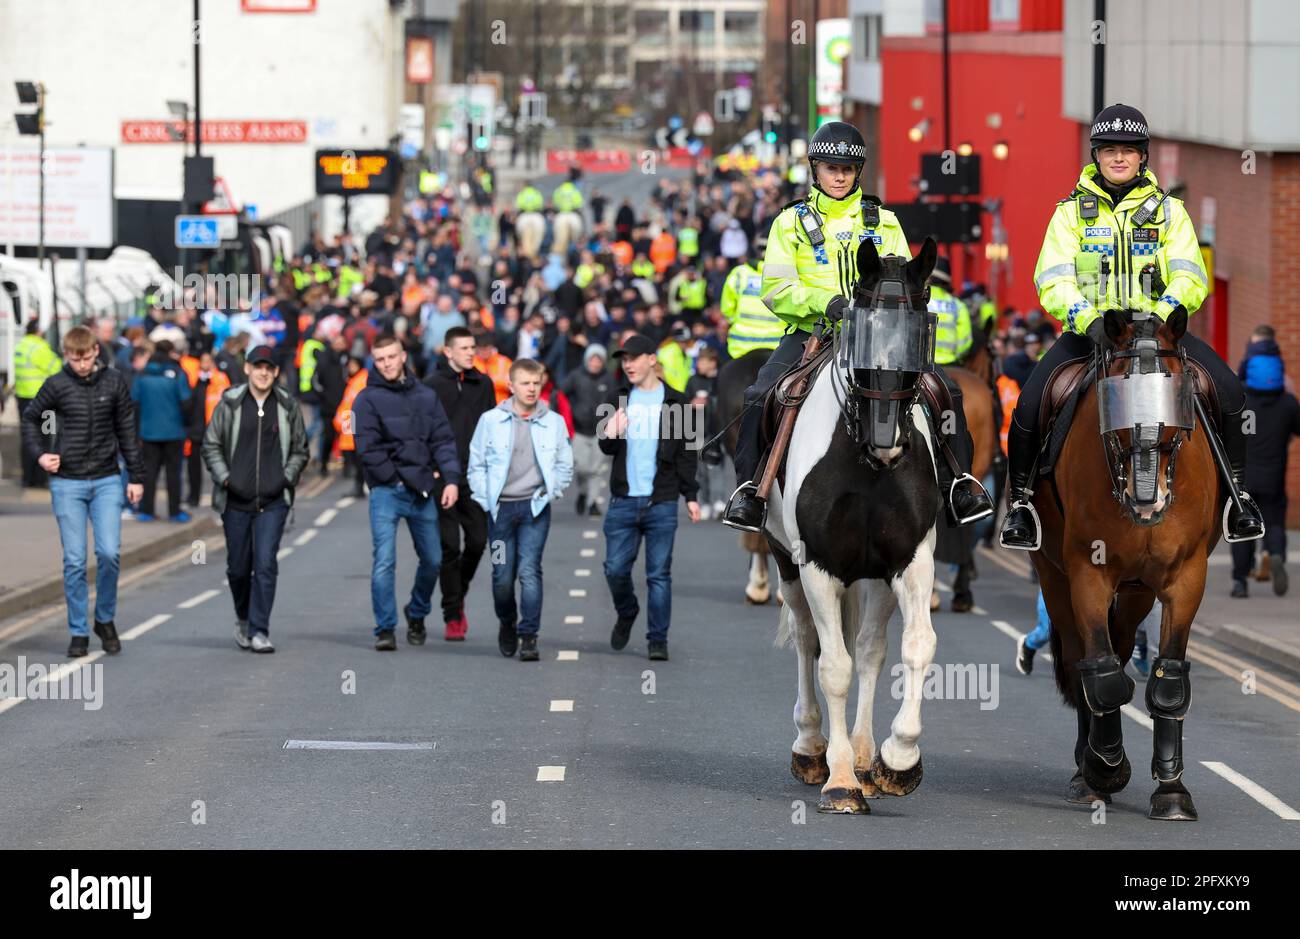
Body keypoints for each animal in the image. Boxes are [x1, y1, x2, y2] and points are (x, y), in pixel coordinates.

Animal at [764, 235, 941, 811]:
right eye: (860, 329)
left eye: (921, 333)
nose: (888, 443)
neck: (865, 463)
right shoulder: (818, 567)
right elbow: (832, 668)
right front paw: (839, 780)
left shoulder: (909, 560)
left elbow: (913, 646)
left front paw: (898, 759)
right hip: (788, 563)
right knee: (807, 642)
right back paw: (811, 748)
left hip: (876, 576)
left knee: (868, 649)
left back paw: (865, 757)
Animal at [1024, 306, 1216, 821]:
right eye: (1116, 404)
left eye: (1173, 399)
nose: (1147, 501)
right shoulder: (1087, 573)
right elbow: (1104, 677)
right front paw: (1105, 768)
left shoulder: (1185, 577)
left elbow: (1168, 680)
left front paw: (1171, 789)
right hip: (1054, 576)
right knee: (1081, 661)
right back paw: (1086, 768)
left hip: (1136, 593)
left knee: (1124, 645)